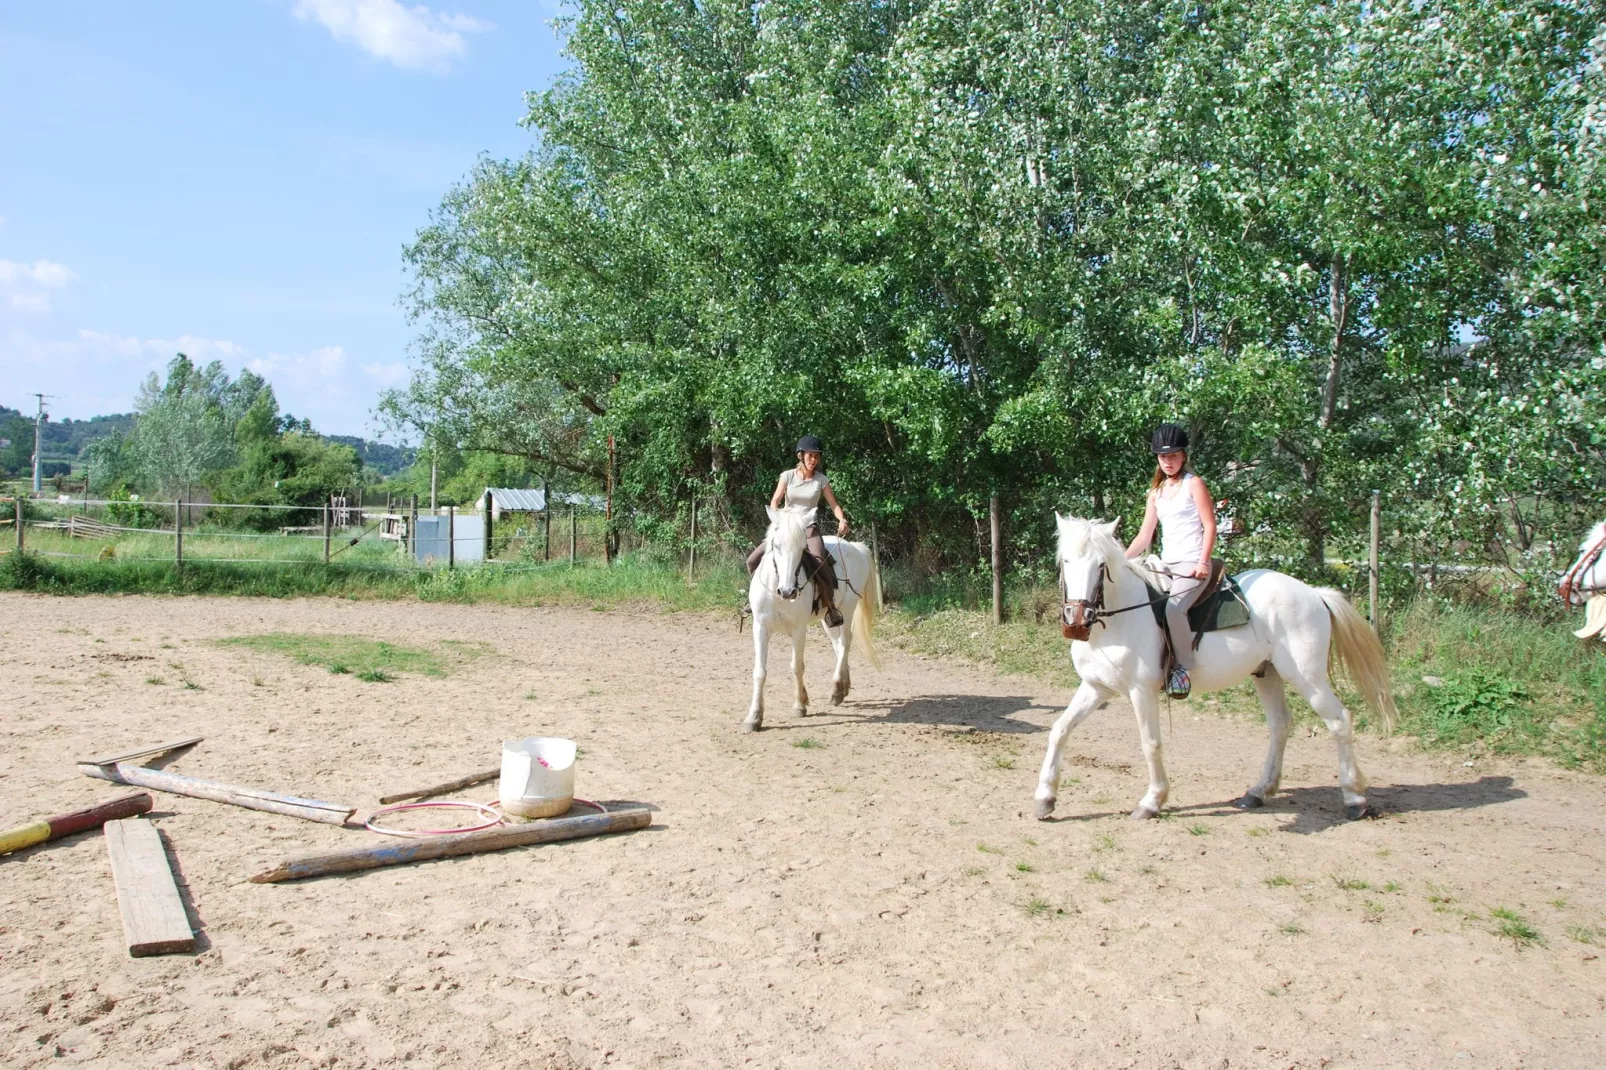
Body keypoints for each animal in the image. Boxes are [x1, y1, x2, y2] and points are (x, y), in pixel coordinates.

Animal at [745, 504, 886, 729]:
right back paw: (843, 687)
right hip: (829, 618)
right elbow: (759, 672)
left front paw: (799, 706)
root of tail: (856, 548)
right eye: (776, 545)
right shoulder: (760, 627)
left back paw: (836, 690)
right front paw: (754, 717)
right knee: (837, 645)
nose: (788, 592)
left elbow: (797, 667)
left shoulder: (798, 629)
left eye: (803, 549)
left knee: (845, 643)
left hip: (847, 608)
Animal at [1040, 514, 1394, 819]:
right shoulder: (1097, 687)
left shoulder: (1141, 691)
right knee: (1281, 724)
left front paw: (1152, 801)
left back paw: (1354, 799)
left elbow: (1150, 743)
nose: (1076, 620)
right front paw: (1045, 798)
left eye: (1101, 565)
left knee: (1339, 720)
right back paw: (1258, 791)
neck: (1118, 620)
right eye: (1065, 562)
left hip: (1307, 677)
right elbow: (1060, 729)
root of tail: (1313, 593)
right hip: (1267, 674)